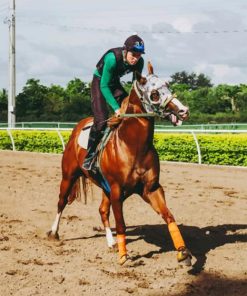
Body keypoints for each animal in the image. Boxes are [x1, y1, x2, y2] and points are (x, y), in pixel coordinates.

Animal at [47, 61, 192, 266]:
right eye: (154, 93)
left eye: (168, 85)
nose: (183, 110)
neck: (133, 146)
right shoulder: (116, 190)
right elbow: (121, 224)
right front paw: (124, 257)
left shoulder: (151, 188)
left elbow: (169, 216)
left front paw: (182, 251)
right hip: (69, 176)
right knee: (61, 202)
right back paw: (54, 232)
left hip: (104, 187)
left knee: (102, 210)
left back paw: (111, 242)